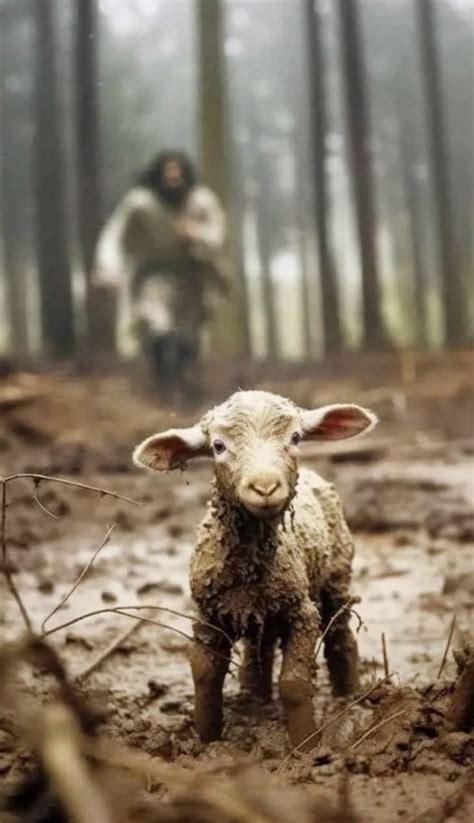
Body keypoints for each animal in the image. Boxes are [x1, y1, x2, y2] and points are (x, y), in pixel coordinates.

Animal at [133, 392, 378, 748]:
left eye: (295, 438)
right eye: (218, 445)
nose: (264, 487)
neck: (250, 563)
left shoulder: (302, 611)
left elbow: (294, 683)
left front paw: (305, 745)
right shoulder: (207, 613)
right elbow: (205, 675)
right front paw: (205, 738)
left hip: (336, 577)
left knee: (340, 633)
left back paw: (349, 695)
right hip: (262, 608)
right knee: (259, 648)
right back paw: (255, 697)